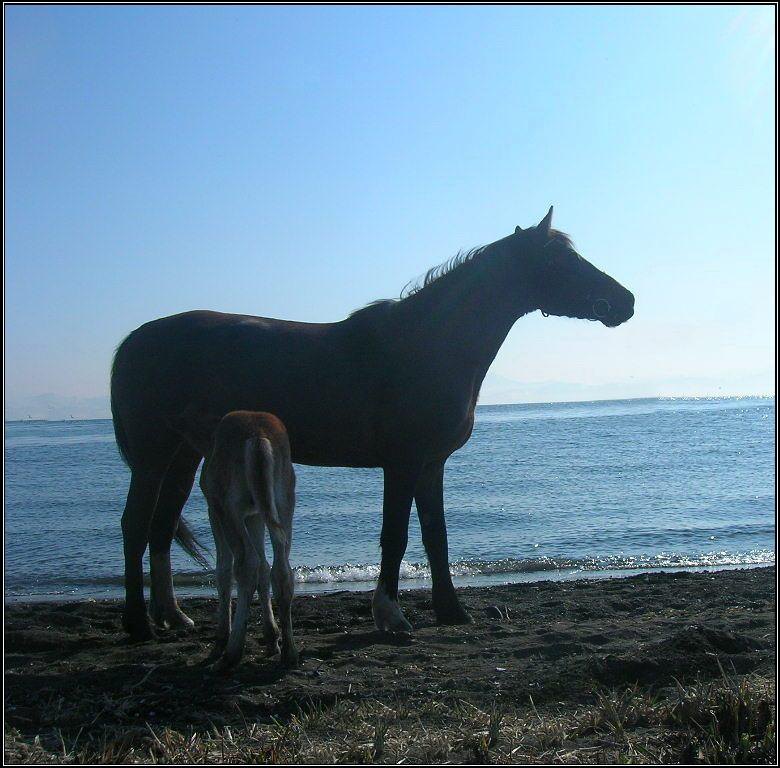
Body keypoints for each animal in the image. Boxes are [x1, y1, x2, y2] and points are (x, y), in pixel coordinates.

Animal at [111, 207, 632, 640]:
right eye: (563, 262)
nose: (625, 300)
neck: (425, 345)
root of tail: (133, 341)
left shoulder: (431, 465)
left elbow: (436, 537)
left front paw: (451, 611)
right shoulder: (401, 463)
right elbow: (395, 536)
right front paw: (390, 614)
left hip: (183, 456)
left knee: (160, 529)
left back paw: (173, 616)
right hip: (153, 458)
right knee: (135, 525)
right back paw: (138, 623)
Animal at [198, 412, 298, 668]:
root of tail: (258, 440)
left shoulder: (214, 507)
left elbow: (223, 569)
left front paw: (220, 640)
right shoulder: (256, 513)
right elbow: (264, 566)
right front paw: (271, 638)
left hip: (228, 503)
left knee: (246, 562)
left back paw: (231, 652)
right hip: (284, 499)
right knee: (281, 567)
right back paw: (289, 652)